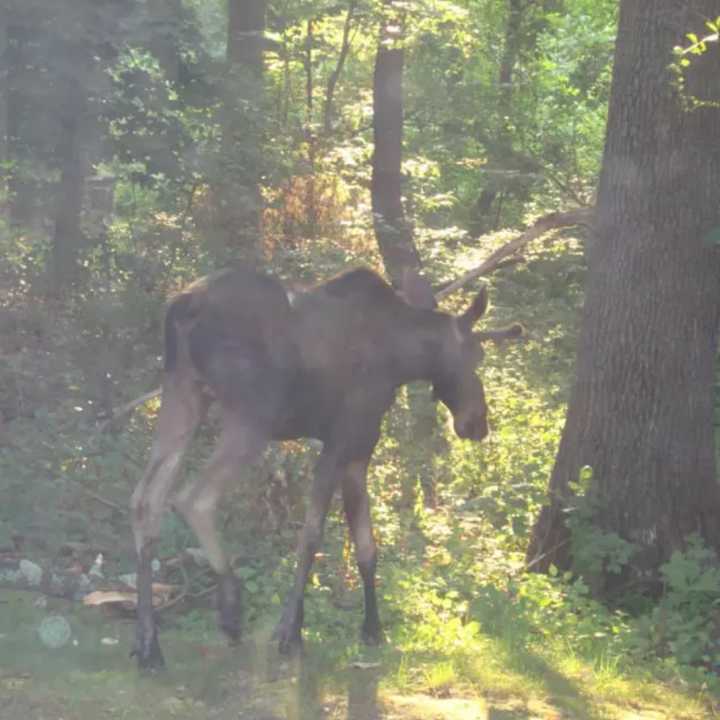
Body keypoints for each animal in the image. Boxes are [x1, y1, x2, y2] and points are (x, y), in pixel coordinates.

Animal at [131, 266, 524, 668]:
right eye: (476, 357)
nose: (478, 423)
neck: (404, 359)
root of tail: (182, 305)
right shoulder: (340, 441)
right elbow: (311, 537)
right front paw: (290, 631)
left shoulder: (358, 453)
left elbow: (366, 547)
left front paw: (371, 629)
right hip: (253, 415)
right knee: (194, 498)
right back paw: (230, 610)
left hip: (183, 394)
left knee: (146, 499)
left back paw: (149, 644)